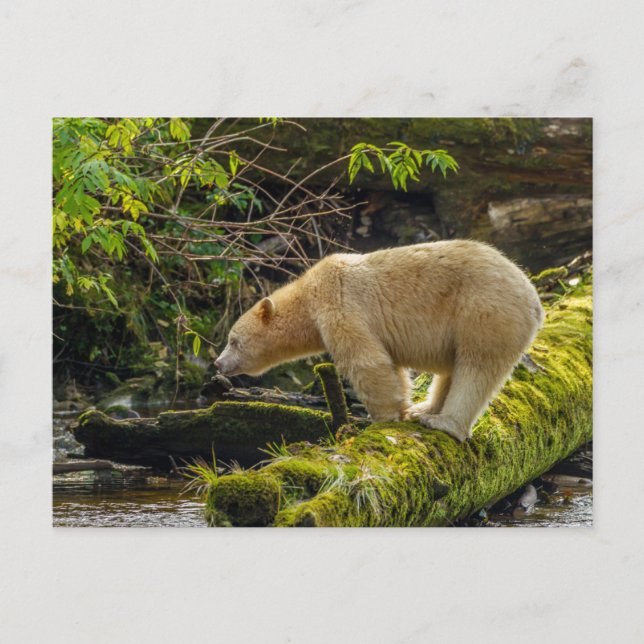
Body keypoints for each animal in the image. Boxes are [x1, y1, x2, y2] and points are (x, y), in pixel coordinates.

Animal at [214, 240, 544, 442]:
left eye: (233, 340)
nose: (217, 363)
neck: (307, 295)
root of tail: (534, 300)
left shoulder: (338, 304)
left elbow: (366, 361)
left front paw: (383, 419)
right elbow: (391, 366)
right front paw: (403, 408)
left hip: (485, 311)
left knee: (476, 367)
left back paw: (444, 422)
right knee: (454, 368)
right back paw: (424, 409)